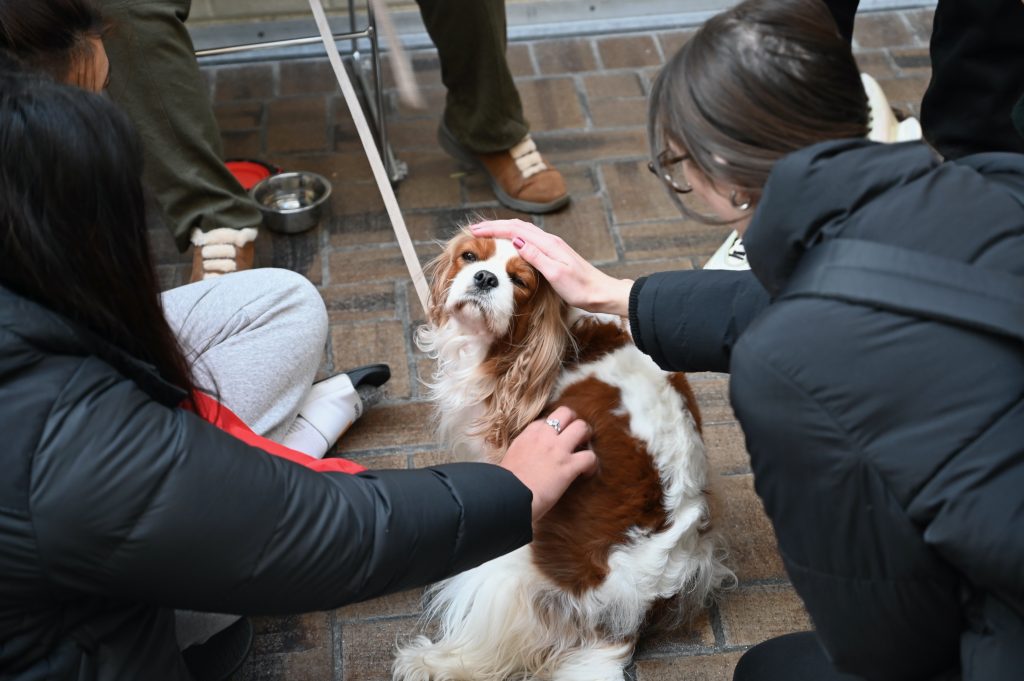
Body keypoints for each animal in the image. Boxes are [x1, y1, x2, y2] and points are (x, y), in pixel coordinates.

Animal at [391, 229, 729, 679]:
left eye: (519, 281)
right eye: (469, 257)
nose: (485, 279)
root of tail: (629, 613)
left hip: (508, 562)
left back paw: (429, 661)